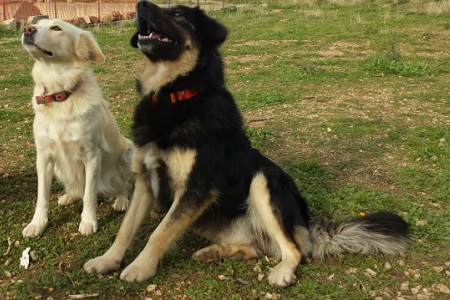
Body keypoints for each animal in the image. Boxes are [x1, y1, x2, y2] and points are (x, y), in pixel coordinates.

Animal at [21, 19, 134, 238]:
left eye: (56, 28)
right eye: (37, 23)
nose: (27, 29)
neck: (59, 95)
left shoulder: (92, 155)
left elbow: (89, 194)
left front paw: (89, 221)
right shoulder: (44, 156)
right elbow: (42, 195)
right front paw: (37, 223)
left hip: (128, 153)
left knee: (123, 184)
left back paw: (121, 200)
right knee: (77, 188)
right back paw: (70, 196)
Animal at [83, 2, 408, 288]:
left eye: (177, 14)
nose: (139, 4)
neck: (174, 93)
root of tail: (306, 223)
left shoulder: (196, 187)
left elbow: (160, 233)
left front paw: (139, 267)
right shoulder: (145, 180)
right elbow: (125, 230)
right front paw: (107, 260)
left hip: (263, 182)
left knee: (293, 250)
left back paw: (282, 272)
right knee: (258, 248)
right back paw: (215, 252)